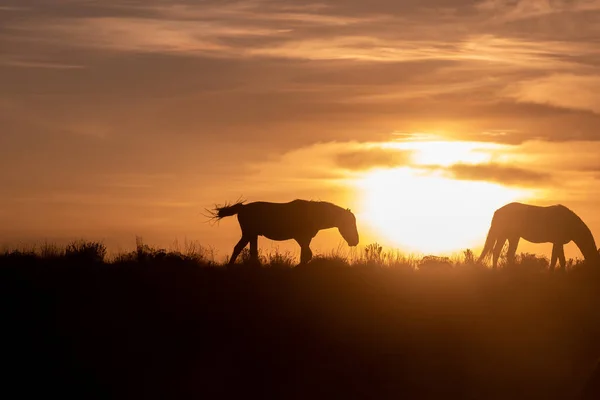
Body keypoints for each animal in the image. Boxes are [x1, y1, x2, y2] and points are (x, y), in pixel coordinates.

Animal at [212, 199, 358, 266]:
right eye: (350, 223)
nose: (356, 241)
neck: (313, 213)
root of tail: (242, 208)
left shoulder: (305, 239)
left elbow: (305, 255)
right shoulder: (301, 238)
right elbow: (307, 255)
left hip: (253, 235)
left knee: (252, 252)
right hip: (248, 233)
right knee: (238, 248)